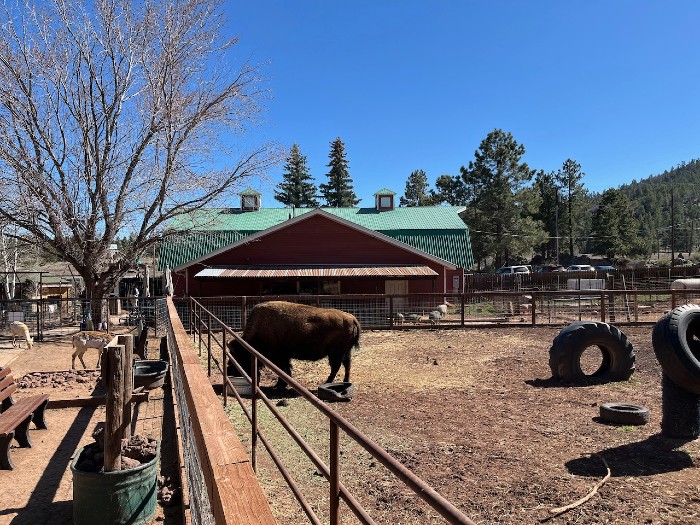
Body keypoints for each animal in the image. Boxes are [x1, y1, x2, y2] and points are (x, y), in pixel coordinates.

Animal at [226, 301, 360, 389]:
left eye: (238, 357)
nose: (229, 371)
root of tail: (351, 318)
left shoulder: (279, 357)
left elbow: (283, 369)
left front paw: (280, 385)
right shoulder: (284, 356)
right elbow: (286, 369)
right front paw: (283, 384)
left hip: (335, 353)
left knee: (336, 367)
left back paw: (327, 382)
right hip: (344, 352)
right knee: (347, 365)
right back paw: (345, 382)